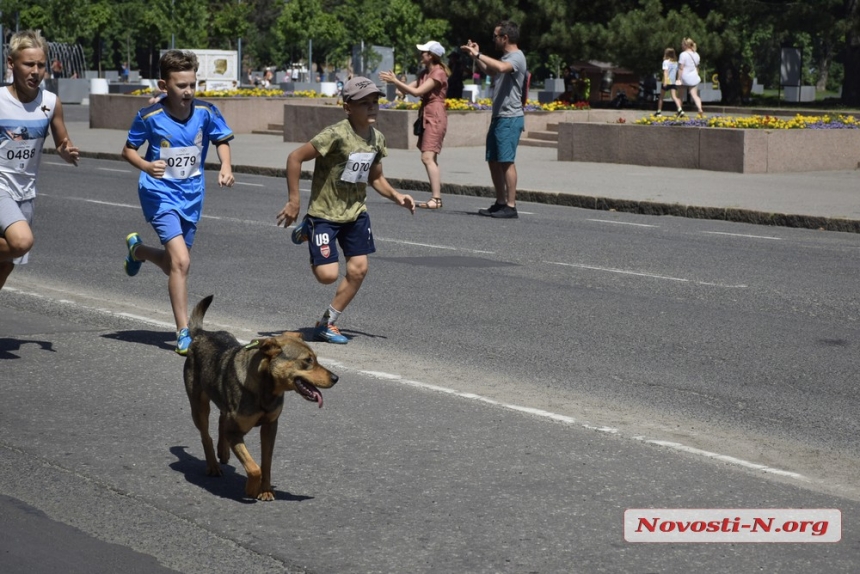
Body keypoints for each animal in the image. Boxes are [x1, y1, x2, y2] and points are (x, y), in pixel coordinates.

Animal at [183, 296, 338, 504]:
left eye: (316, 358)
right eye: (307, 360)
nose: (336, 378)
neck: (266, 390)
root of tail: (202, 333)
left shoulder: (270, 426)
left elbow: (266, 462)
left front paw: (265, 490)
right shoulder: (235, 433)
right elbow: (253, 467)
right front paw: (251, 489)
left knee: (221, 419)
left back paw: (223, 452)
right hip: (198, 406)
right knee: (206, 435)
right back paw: (213, 465)